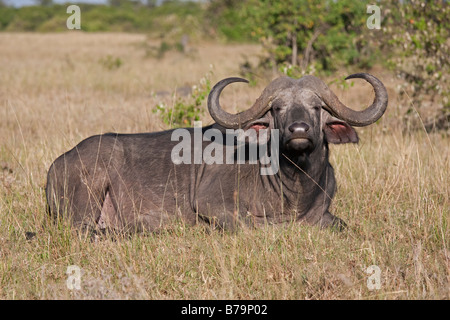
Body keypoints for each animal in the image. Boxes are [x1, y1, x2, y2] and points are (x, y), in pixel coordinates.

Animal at [47, 72, 388, 232]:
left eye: (317, 107)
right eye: (278, 109)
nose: (299, 130)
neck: (294, 185)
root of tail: (57, 164)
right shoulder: (210, 204)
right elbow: (250, 223)